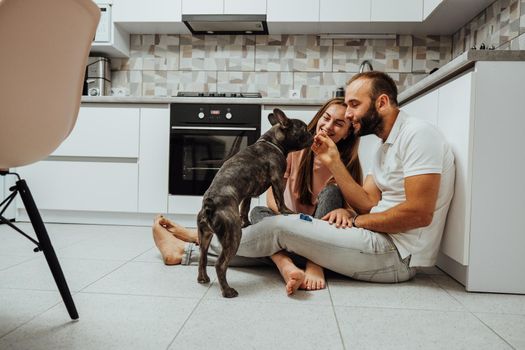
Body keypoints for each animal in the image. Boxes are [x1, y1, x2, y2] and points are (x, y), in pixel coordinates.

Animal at [195, 108, 312, 296]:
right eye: (303, 128)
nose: (312, 134)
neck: (273, 142)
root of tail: (209, 204)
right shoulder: (277, 179)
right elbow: (280, 199)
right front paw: (287, 211)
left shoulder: (248, 194)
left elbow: (245, 208)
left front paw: (247, 222)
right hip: (233, 236)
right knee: (221, 265)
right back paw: (227, 291)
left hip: (205, 235)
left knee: (203, 256)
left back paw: (203, 278)